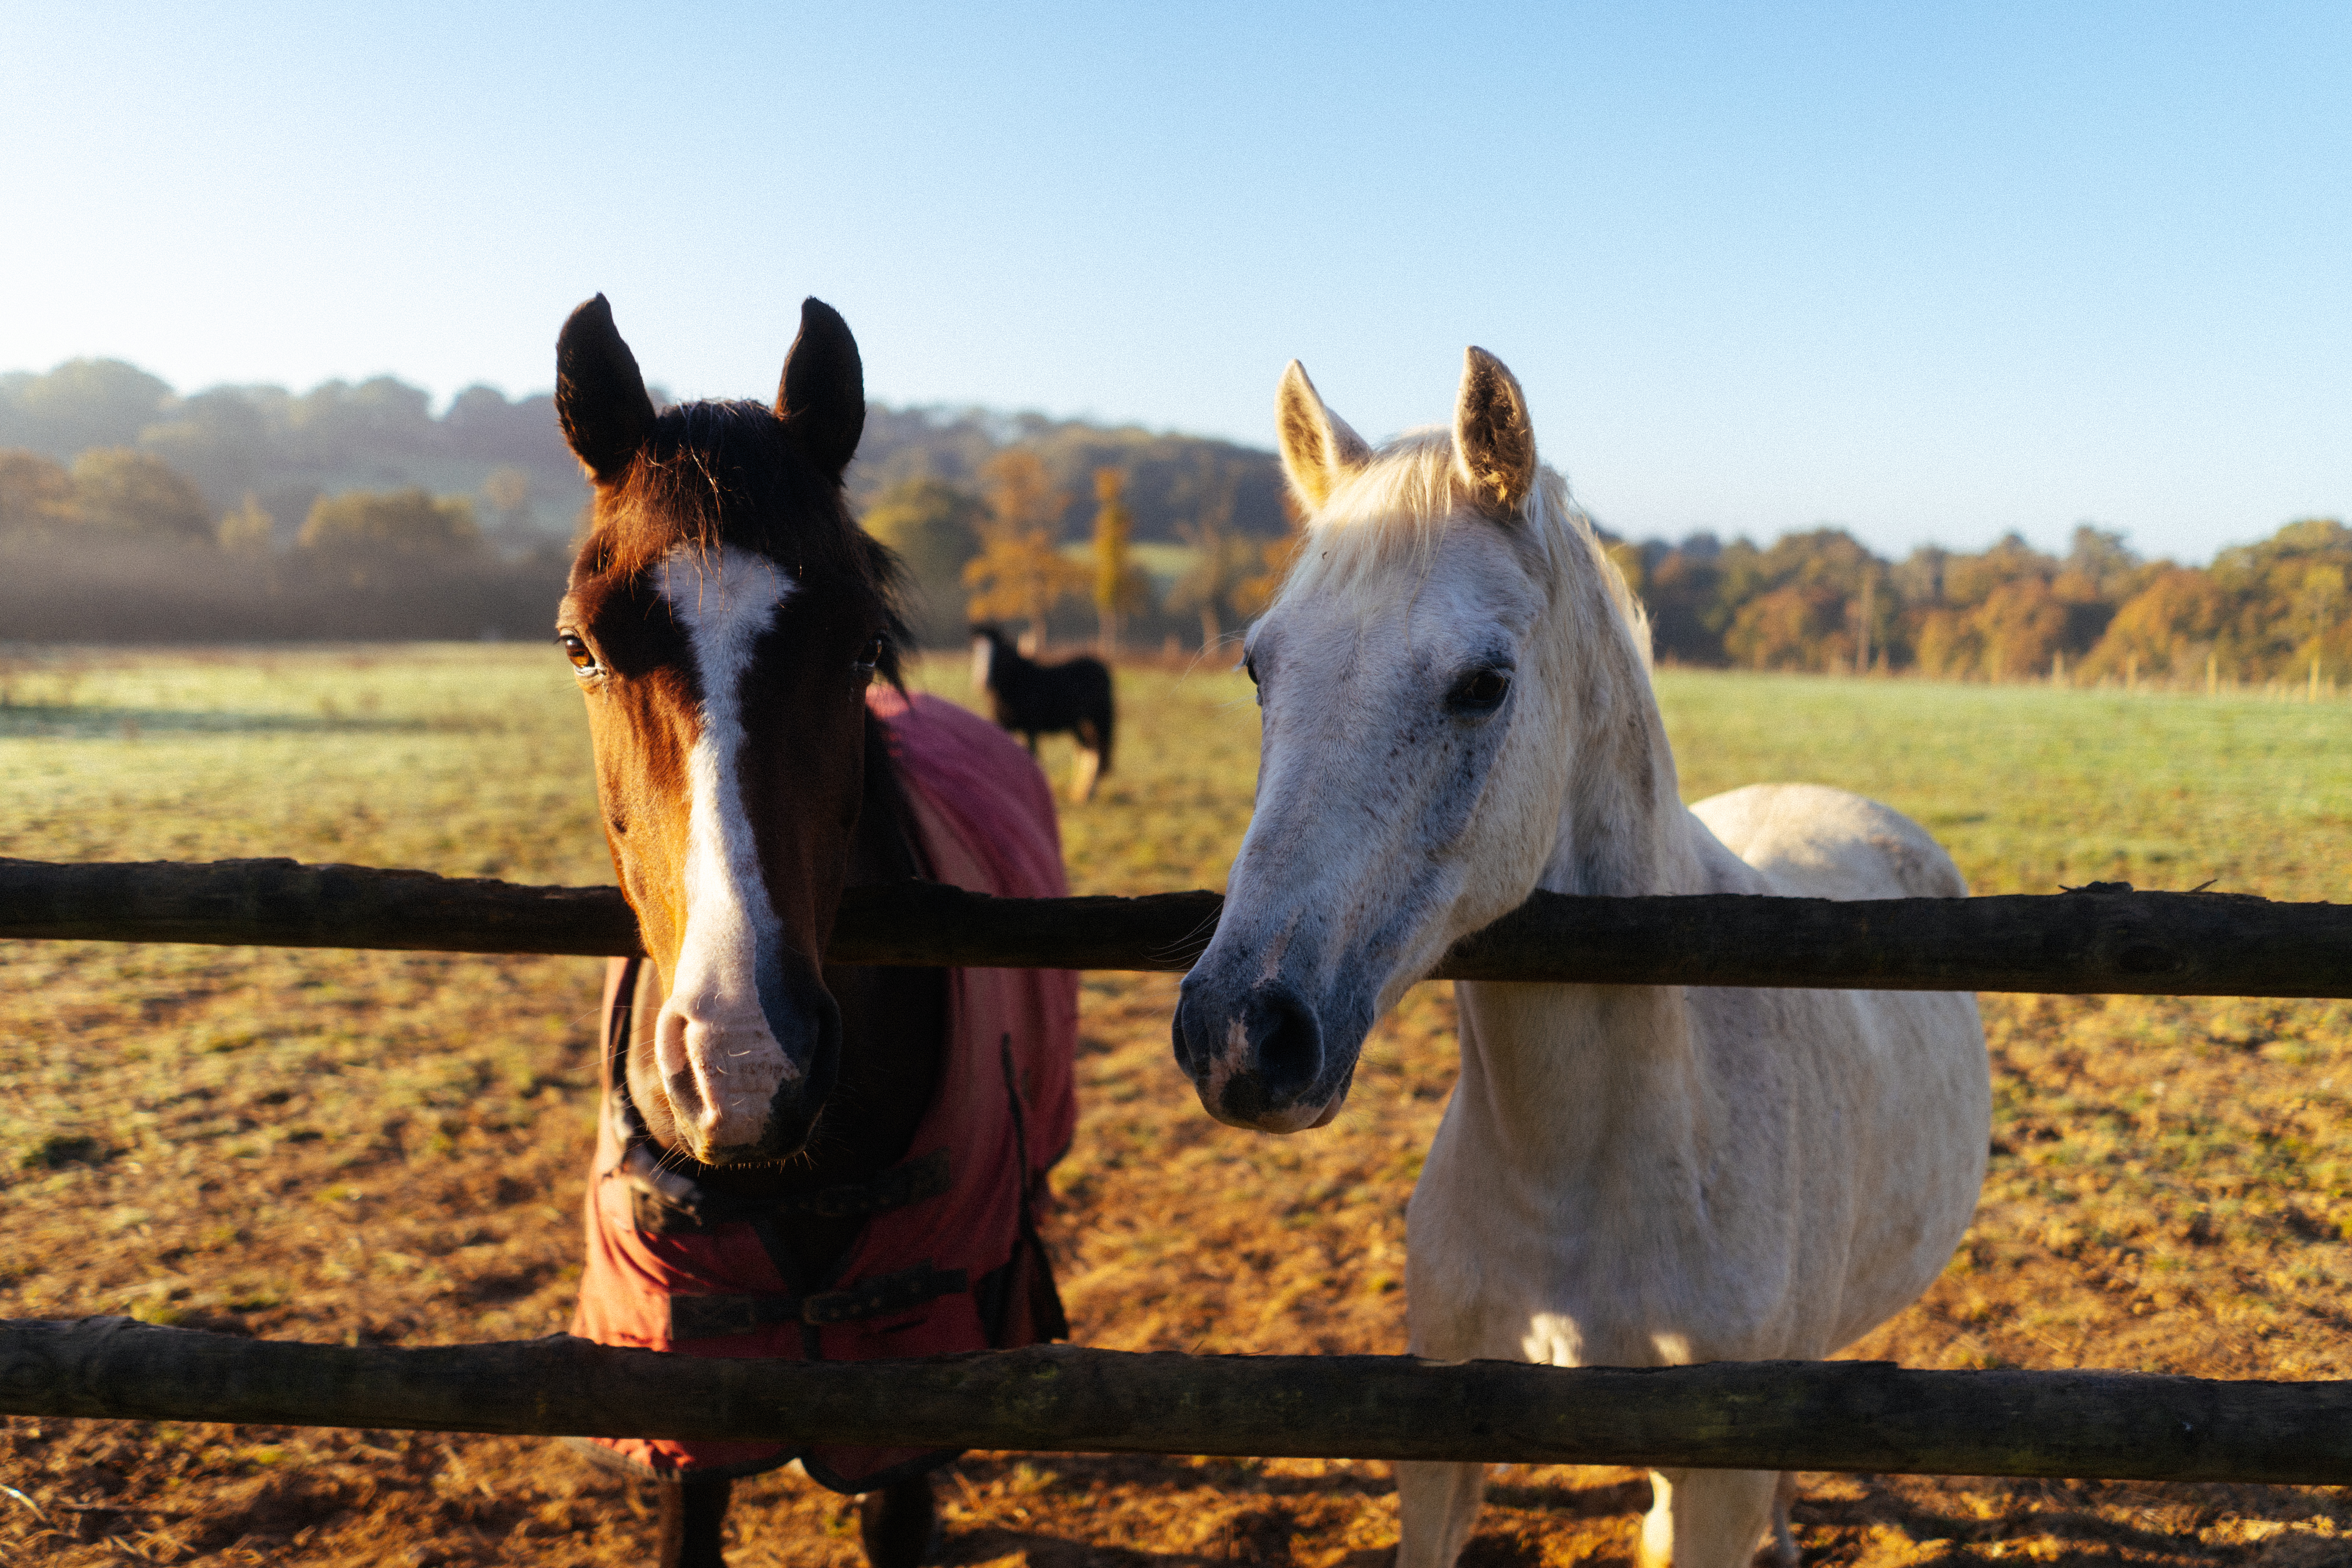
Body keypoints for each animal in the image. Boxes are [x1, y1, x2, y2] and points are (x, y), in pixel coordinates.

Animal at [968, 623, 1115, 802]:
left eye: (999, 654)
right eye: (975, 651)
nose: (982, 682)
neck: (1018, 683)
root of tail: (1101, 667)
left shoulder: (1031, 728)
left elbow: (1032, 755)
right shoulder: (1004, 726)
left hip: (1097, 720)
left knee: (1098, 750)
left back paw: (1088, 793)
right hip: (1079, 725)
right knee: (1086, 749)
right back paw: (1077, 791)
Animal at [1170, 351, 1989, 1568]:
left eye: (1484, 683)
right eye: (1260, 669)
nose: (1240, 1035)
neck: (1583, 1168)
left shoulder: (1718, 1473)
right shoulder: (1438, 1450)